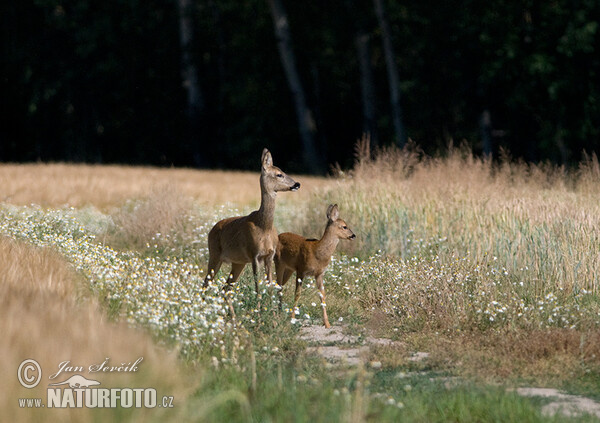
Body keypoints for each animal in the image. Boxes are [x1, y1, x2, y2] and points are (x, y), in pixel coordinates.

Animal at [204, 149, 300, 298]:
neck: (264, 227)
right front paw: (259, 304)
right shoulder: (255, 254)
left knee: (226, 287)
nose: (297, 184)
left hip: (238, 262)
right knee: (206, 283)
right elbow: (258, 287)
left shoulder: (269, 255)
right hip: (214, 253)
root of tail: (211, 230)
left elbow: (270, 285)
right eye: (279, 174)